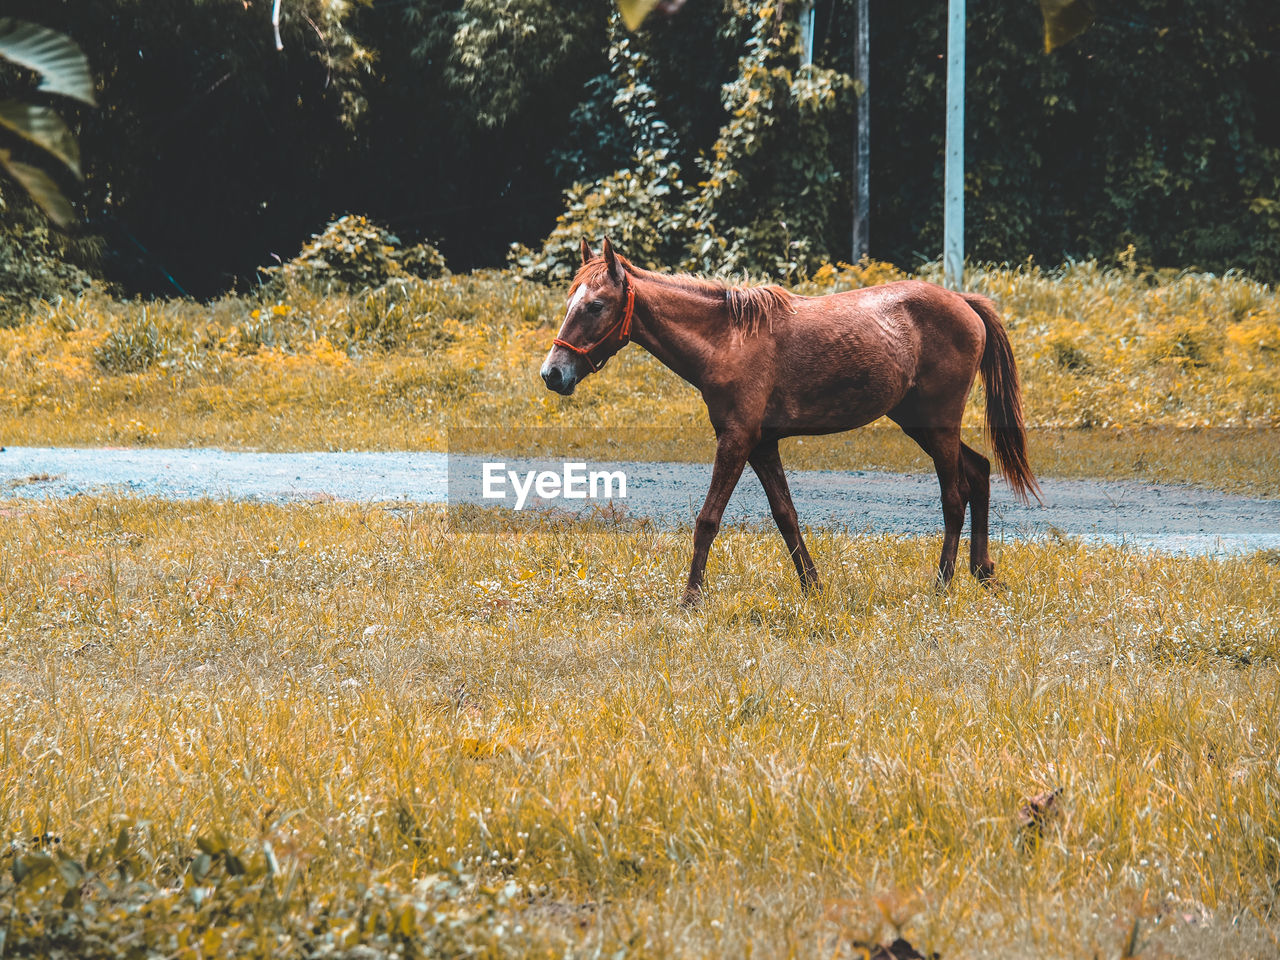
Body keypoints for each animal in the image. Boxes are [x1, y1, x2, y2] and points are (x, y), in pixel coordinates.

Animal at [540, 239, 1039, 601]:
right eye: (569, 302)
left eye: (596, 306)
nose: (553, 373)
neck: (727, 339)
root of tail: (963, 302)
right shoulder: (762, 445)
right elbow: (787, 517)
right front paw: (813, 588)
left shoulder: (736, 440)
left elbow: (708, 519)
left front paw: (690, 598)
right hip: (920, 423)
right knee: (979, 472)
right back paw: (982, 571)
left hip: (938, 424)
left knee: (954, 496)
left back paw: (942, 584)